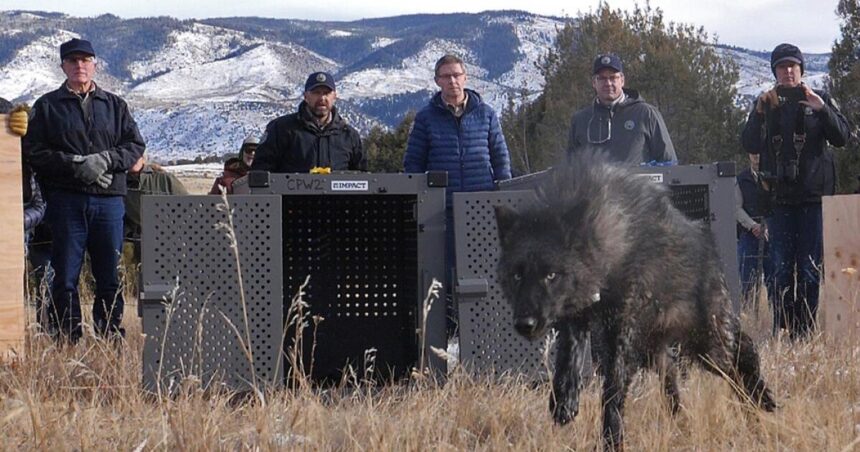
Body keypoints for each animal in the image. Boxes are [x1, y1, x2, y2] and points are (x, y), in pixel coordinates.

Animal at [494, 152, 776, 450]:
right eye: (517, 275)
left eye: (551, 275)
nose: (525, 324)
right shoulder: (576, 318)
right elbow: (568, 361)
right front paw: (564, 401)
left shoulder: (621, 334)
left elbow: (612, 390)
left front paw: (611, 439)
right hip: (660, 351)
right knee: (674, 379)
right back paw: (683, 423)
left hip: (708, 345)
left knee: (743, 355)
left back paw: (761, 401)